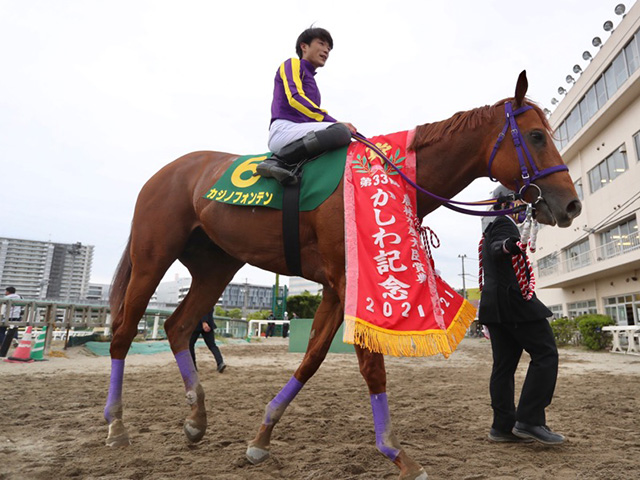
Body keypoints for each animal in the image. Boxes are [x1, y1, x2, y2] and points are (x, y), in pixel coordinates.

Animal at [104, 72, 580, 480]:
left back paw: (196, 419)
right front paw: (397, 453)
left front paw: (261, 437)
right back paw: (116, 426)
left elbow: (312, 359)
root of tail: (166, 172)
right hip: (153, 256)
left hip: (215, 265)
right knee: (124, 332)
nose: (572, 205)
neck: (389, 176)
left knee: (178, 325)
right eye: (537, 137)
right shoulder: (351, 280)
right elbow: (372, 367)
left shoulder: (335, 288)